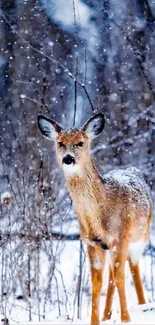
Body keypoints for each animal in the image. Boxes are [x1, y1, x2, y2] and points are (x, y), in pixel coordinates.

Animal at [38, 112, 152, 322]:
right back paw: (107, 315)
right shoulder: (92, 242)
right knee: (112, 275)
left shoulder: (121, 236)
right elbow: (97, 282)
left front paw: (126, 319)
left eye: (80, 142)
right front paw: (95, 321)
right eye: (60, 143)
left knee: (133, 268)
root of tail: (133, 170)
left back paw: (142, 304)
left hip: (141, 236)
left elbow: (121, 276)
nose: (68, 158)